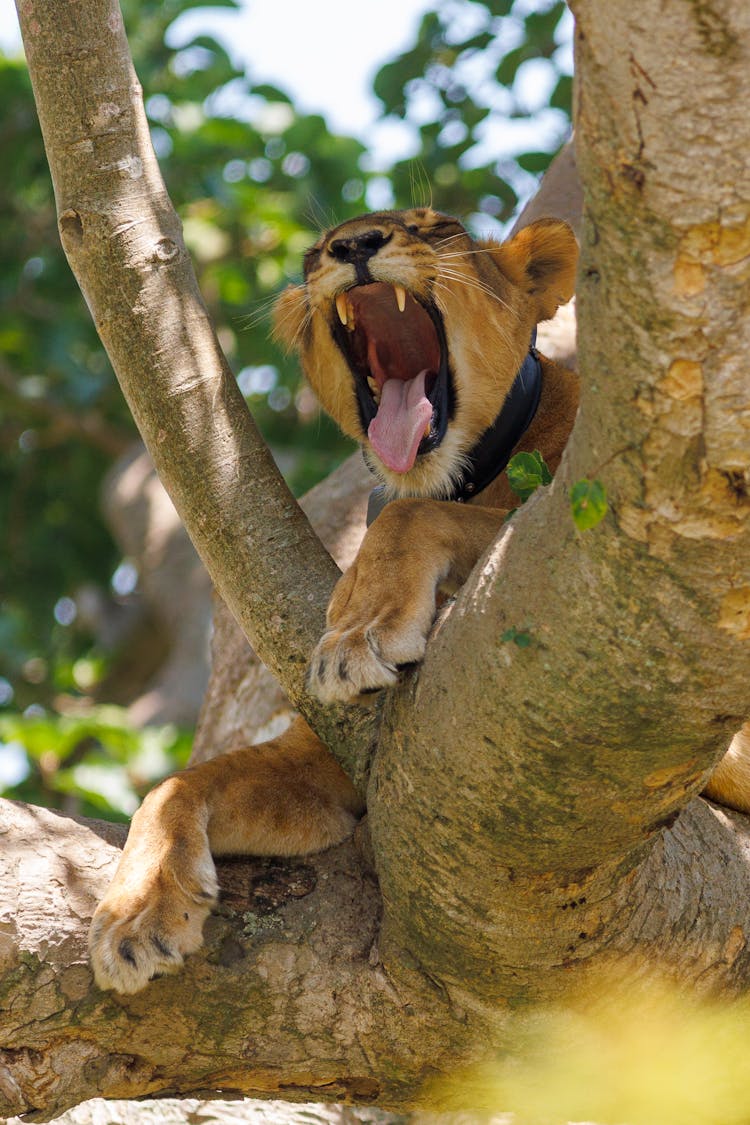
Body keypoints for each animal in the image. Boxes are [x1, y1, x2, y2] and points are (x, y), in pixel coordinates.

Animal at [92, 204, 746, 994]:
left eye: (438, 228)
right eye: (315, 252)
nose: (353, 245)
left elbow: (410, 519)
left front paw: (356, 628)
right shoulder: (323, 762)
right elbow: (175, 786)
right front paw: (134, 915)